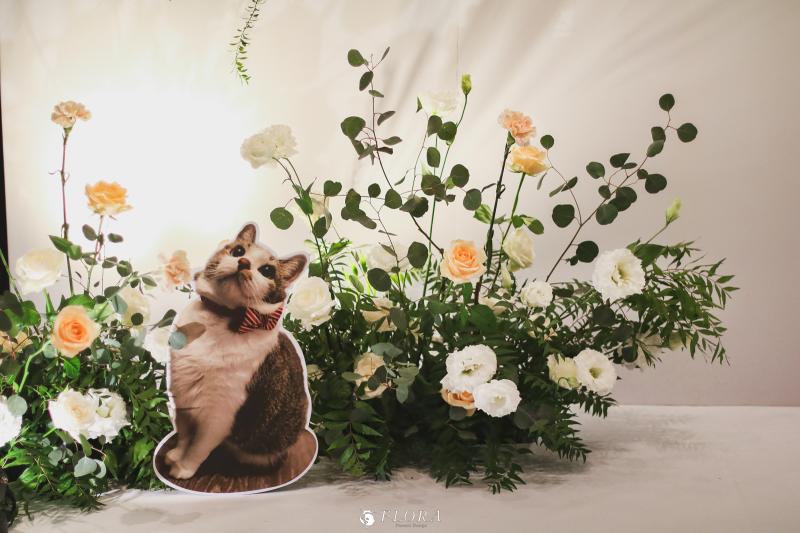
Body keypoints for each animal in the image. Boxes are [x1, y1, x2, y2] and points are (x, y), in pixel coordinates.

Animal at [163, 223, 316, 484]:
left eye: (267, 270)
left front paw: (183, 468)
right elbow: (183, 435)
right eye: (238, 251)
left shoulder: (219, 415)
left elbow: (197, 447)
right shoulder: (183, 397)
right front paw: (176, 455)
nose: (243, 262)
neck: (222, 320)